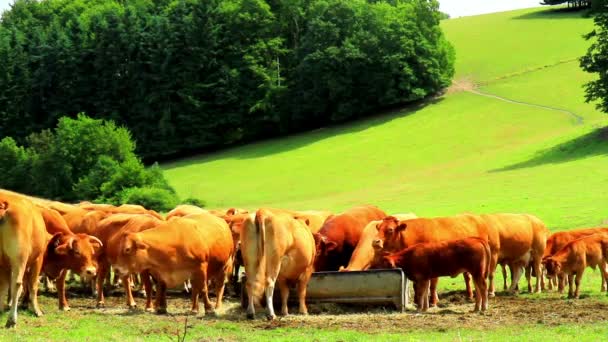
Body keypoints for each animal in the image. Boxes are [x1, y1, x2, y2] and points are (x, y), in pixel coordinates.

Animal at [0, 194, 47, 328]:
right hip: (19, 257)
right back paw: (12, 320)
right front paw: (37, 310)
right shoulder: (38, 259)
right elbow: (33, 284)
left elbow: (4, 286)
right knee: (17, 283)